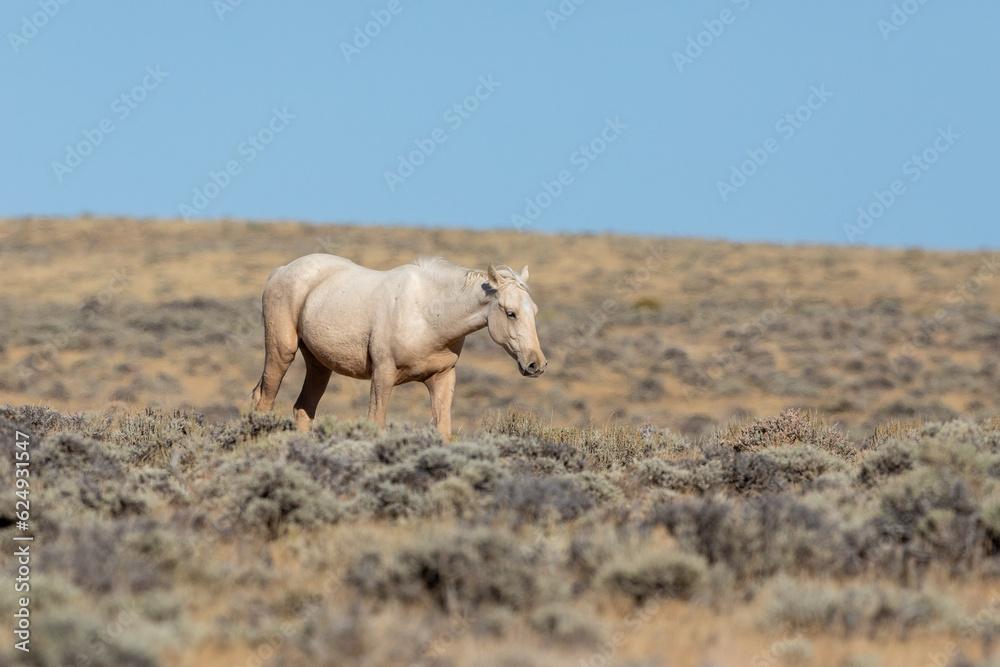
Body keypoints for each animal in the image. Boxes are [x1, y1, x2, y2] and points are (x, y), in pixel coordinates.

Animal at [251, 255, 547, 438]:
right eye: (510, 313)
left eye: (534, 311)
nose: (536, 364)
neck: (428, 314)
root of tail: (281, 271)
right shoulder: (383, 375)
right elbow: (376, 423)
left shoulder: (442, 378)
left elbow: (443, 431)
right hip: (282, 352)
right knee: (263, 400)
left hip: (319, 366)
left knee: (303, 409)